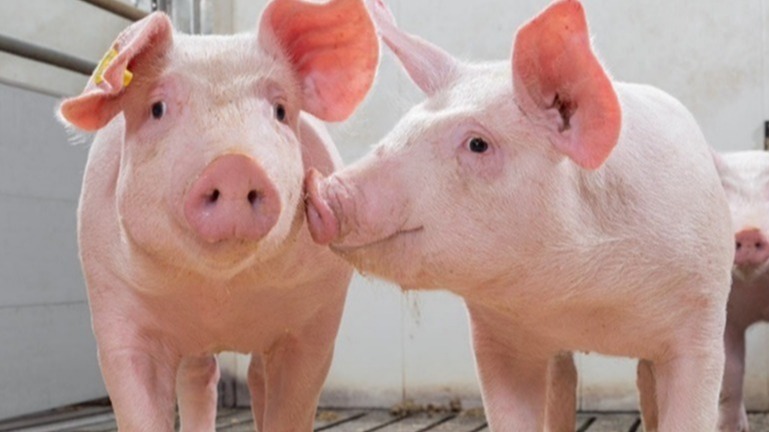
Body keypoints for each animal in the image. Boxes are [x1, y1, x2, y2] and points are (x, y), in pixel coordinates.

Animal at [56, 0, 378, 430]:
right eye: (157, 108)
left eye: (280, 111)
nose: (235, 165)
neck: (220, 294)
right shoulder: (113, 308)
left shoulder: (316, 321)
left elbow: (292, 406)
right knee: (199, 376)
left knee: (253, 376)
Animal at [305, 0, 733, 430]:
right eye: (401, 127)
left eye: (478, 144)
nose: (323, 188)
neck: (587, 306)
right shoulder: (497, 340)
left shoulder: (702, 322)